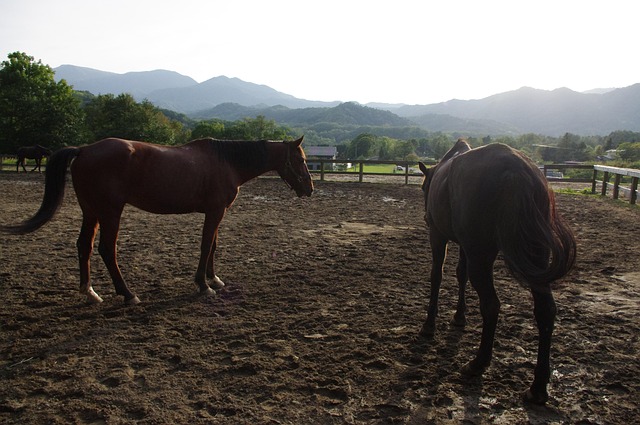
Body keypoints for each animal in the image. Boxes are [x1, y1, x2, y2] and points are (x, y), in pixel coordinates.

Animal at [2, 136, 313, 305]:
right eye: (300, 160)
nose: (309, 189)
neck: (227, 162)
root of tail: (84, 149)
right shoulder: (215, 211)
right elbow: (205, 246)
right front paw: (203, 285)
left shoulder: (217, 212)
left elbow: (213, 246)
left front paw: (214, 279)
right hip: (110, 211)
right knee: (106, 250)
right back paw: (128, 294)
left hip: (90, 211)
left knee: (84, 246)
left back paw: (90, 292)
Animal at [417, 139, 576, 405]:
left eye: (422, 188)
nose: (425, 216)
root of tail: (516, 170)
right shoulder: (465, 246)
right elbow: (460, 274)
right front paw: (459, 316)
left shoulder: (438, 236)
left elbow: (436, 275)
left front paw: (430, 324)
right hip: (534, 255)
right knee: (546, 310)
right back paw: (538, 387)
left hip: (482, 254)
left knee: (491, 305)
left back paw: (478, 363)